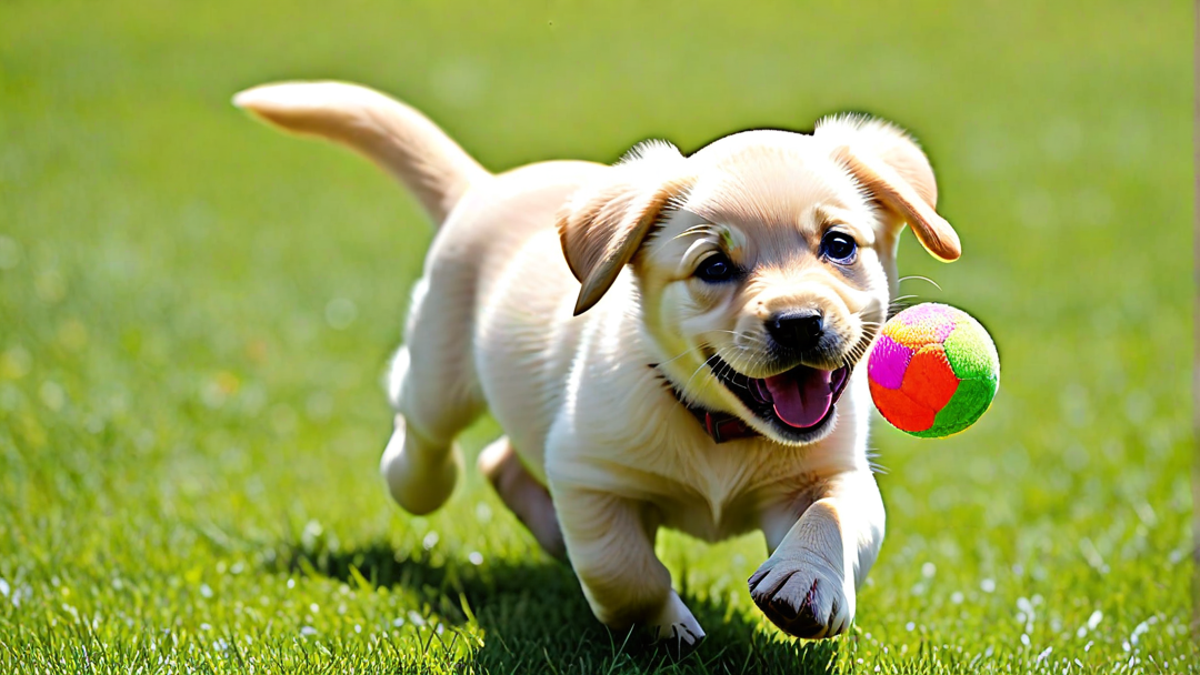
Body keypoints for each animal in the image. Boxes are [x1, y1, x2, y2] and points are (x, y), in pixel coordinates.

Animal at [238, 81, 960, 643]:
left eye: (838, 245)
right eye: (714, 266)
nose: (799, 323)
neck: (718, 427)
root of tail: (484, 185)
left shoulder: (832, 467)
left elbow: (835, 517)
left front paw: (806, 580)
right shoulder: (586, 470)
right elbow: (622, 570)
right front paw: (665, 627)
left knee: (500, 461)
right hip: (439, 370)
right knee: (424, 431)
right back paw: (419, 474)